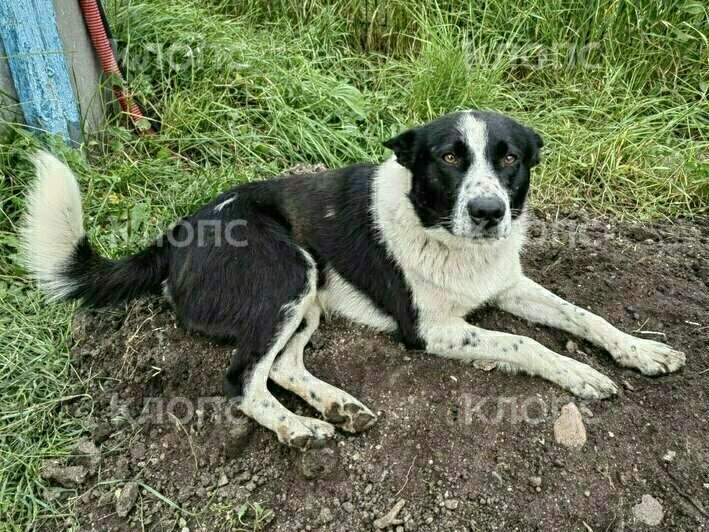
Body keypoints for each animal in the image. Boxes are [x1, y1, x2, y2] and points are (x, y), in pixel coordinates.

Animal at [22, 111, 684, 444]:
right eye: (449, 157)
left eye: (510, 159)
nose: (489, 212)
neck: (441, 229)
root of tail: (176, 234)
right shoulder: (431, 330)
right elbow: (525, 343)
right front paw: (581, 375)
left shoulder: (507, 284)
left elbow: (583, 314)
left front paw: (640, 350)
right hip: (287, 273)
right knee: (242, 380)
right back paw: (299, 429)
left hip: (308, 296)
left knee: (282, 367)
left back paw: (338, 407)